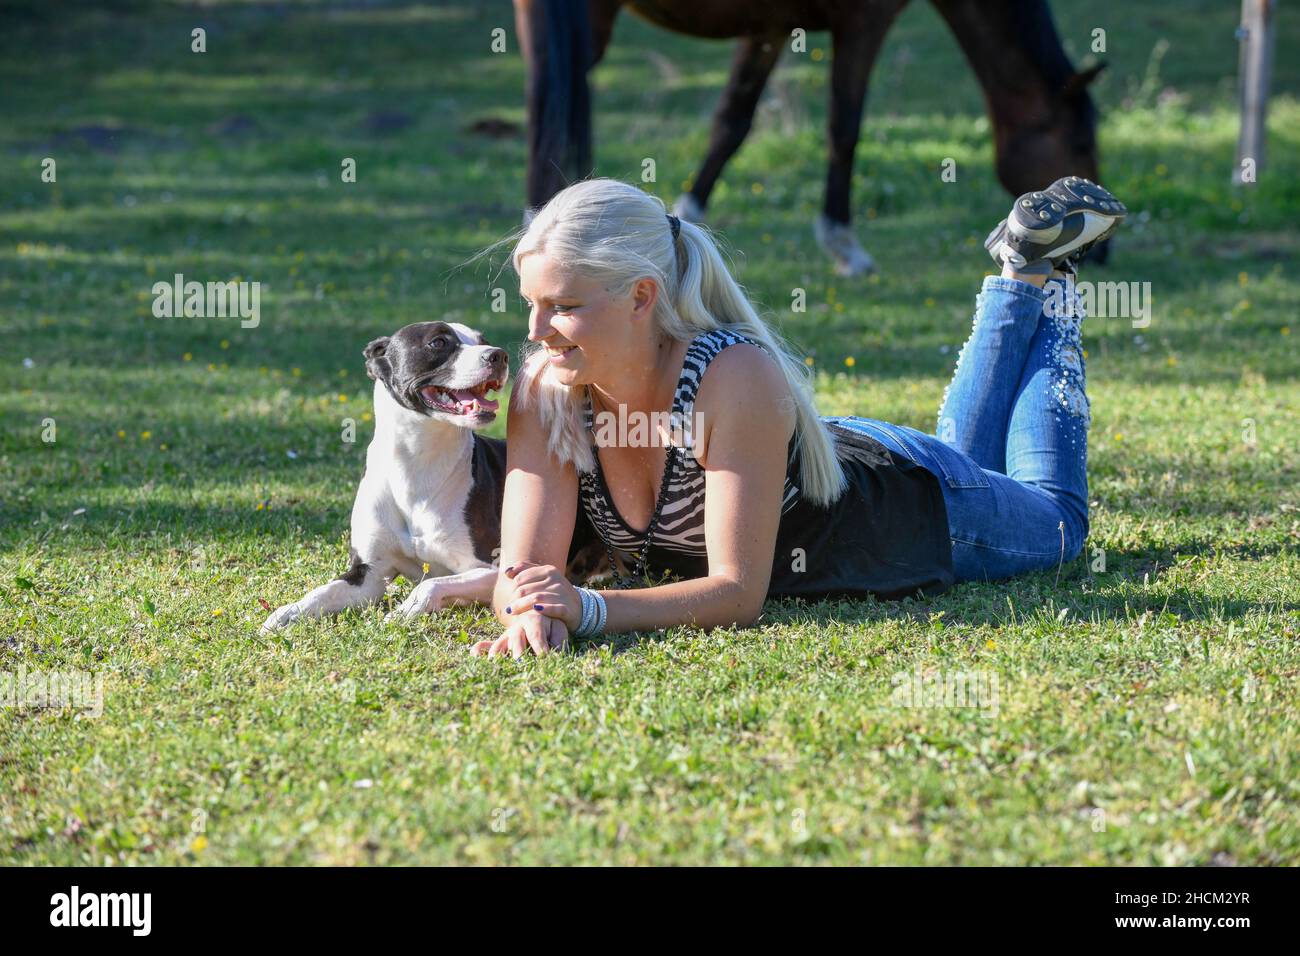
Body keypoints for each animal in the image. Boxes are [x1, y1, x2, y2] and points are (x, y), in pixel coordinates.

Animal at [265, 323, 608, 634]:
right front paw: (287, 613)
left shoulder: (491, 569)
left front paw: (403, 612)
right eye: (439, 342)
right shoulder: (368, 574)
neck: (419, 463)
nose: (498, 355)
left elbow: (430, 585)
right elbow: (324, 591)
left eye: (483, 341)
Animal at [512, 0, 1102, 277]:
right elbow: (845, 130)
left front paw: (687, 216)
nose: (1100, 253)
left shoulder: (768, 28)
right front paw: (844, 244)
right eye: (1081, 146)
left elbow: (731, 123)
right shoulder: (863, 24)